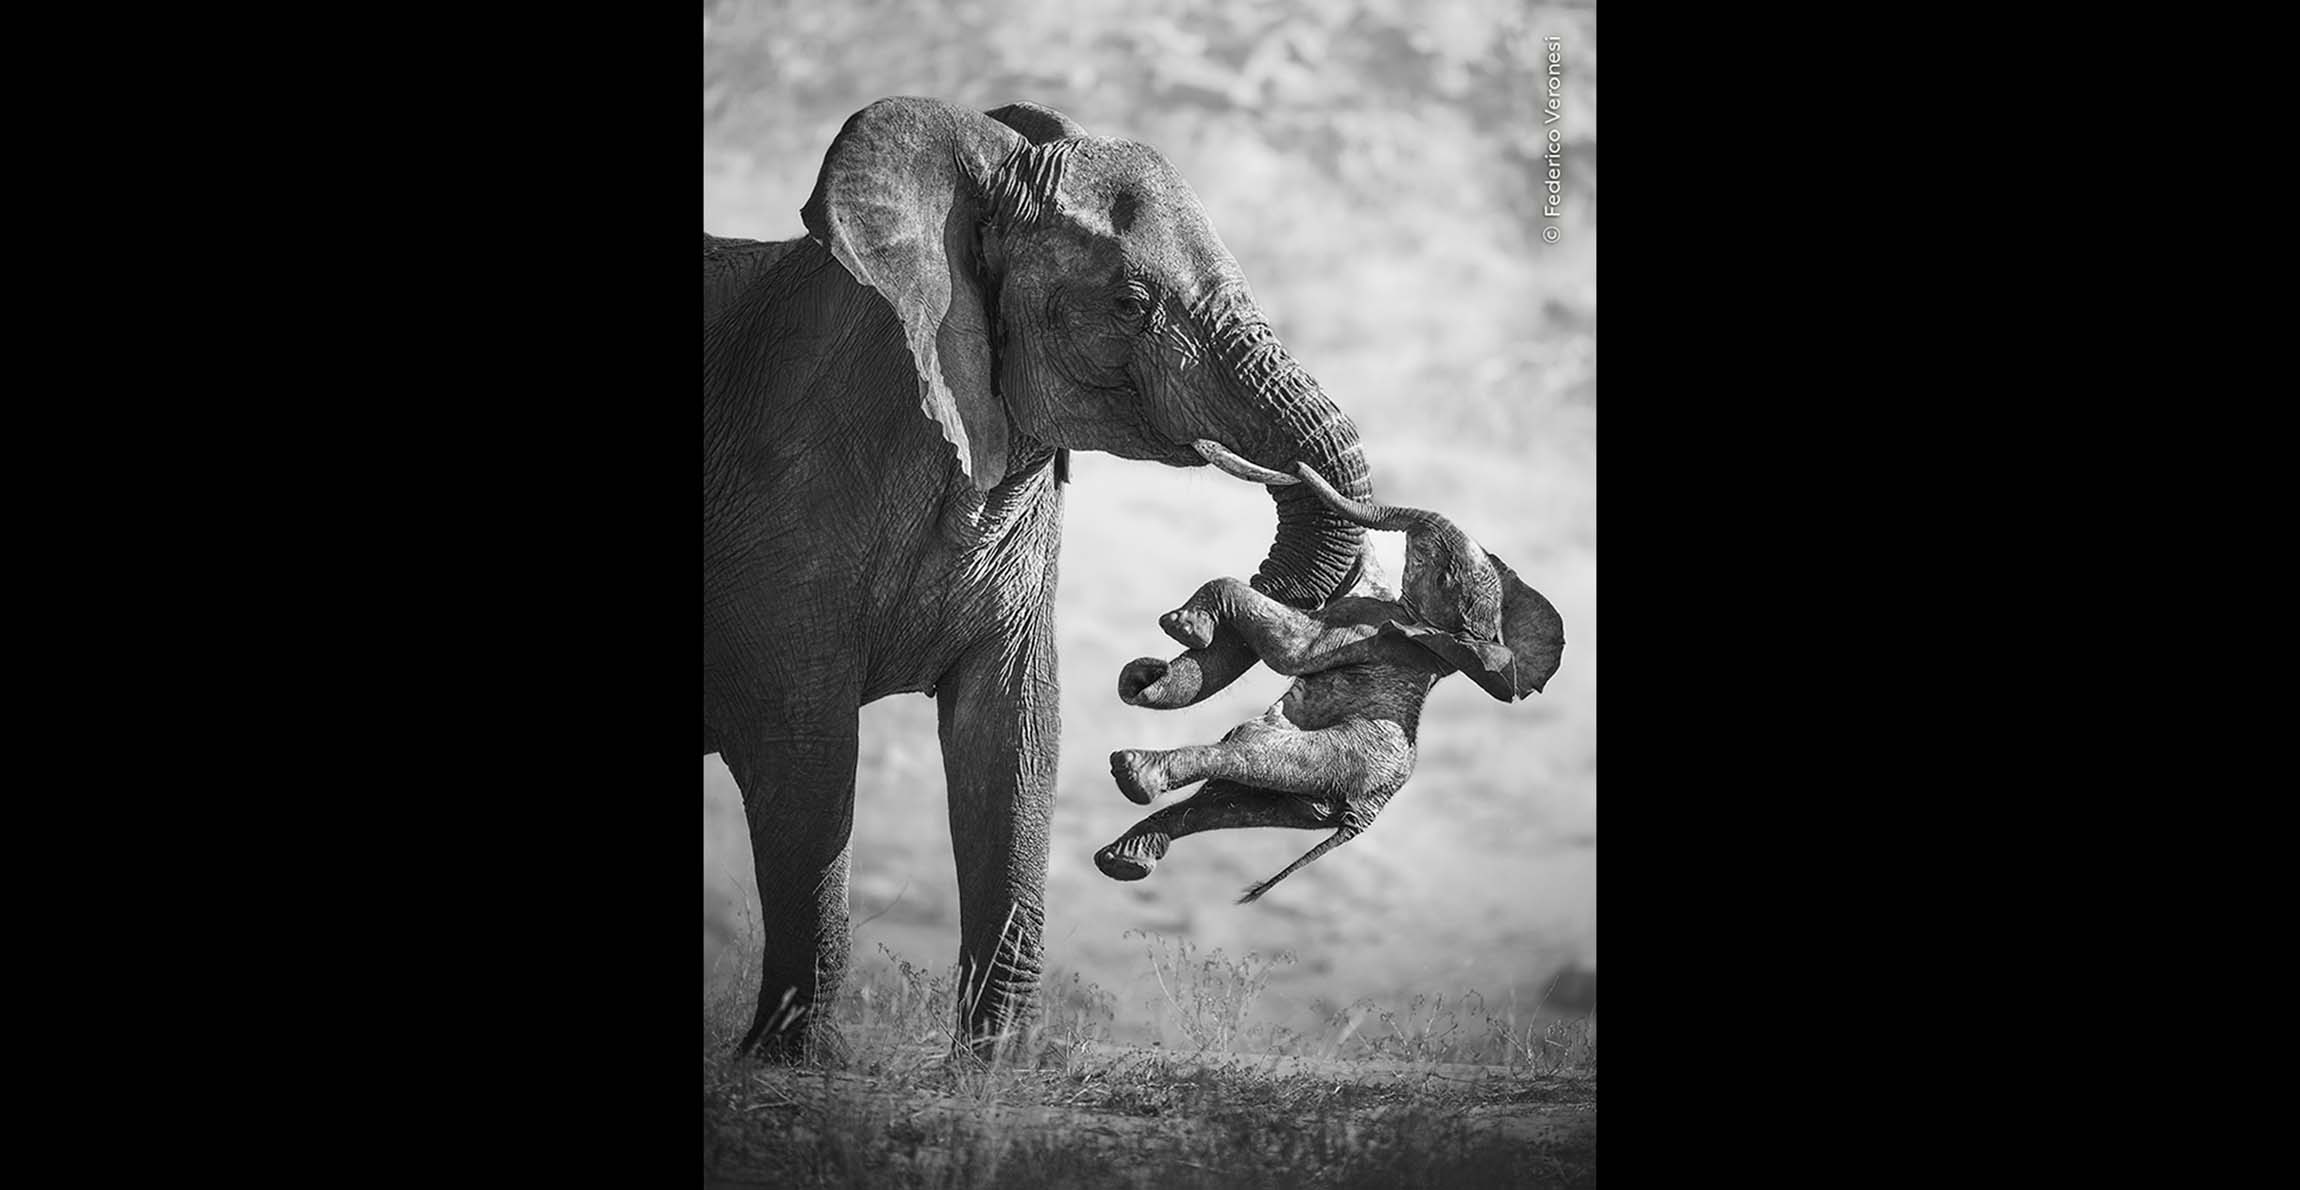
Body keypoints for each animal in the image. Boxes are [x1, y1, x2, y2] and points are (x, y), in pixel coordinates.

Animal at [704, 98, 1381, 1060]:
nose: (1155, 657)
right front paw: (790, 1066)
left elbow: (1015, 737)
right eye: (1130, 305)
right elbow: (807, 754)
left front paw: (996, 1069)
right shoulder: (781, 501)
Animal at [1097, 454, 1564, 902]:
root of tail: (1363, 816)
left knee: (1247, 750)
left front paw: (1183, 628)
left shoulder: (1369, 629)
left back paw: (1134, 774)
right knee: (1226, 801)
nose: (1295, 467)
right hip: (1311, 796)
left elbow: (1290, 650)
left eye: (1443, 575)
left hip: (1338, 758)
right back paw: (1124, 858)